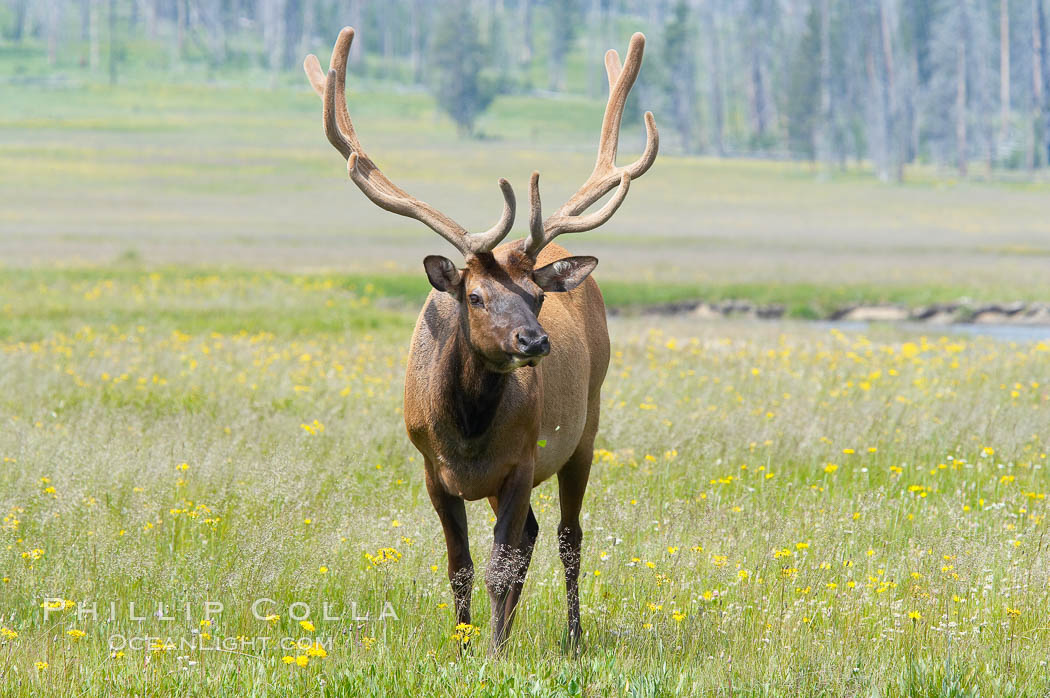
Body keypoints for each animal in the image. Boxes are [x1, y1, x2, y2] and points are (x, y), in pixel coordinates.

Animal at [304, 25, 655, 646]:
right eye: (474, 296)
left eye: (538, 296)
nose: (534, 342)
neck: (466, 433)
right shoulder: (430, 469)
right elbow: (462, 567)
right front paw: (467, 643)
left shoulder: (520, 461)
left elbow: (499, 567)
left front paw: (493, 650)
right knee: (533, 535)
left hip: (584, 428)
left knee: (567, 537)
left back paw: (572, 636)